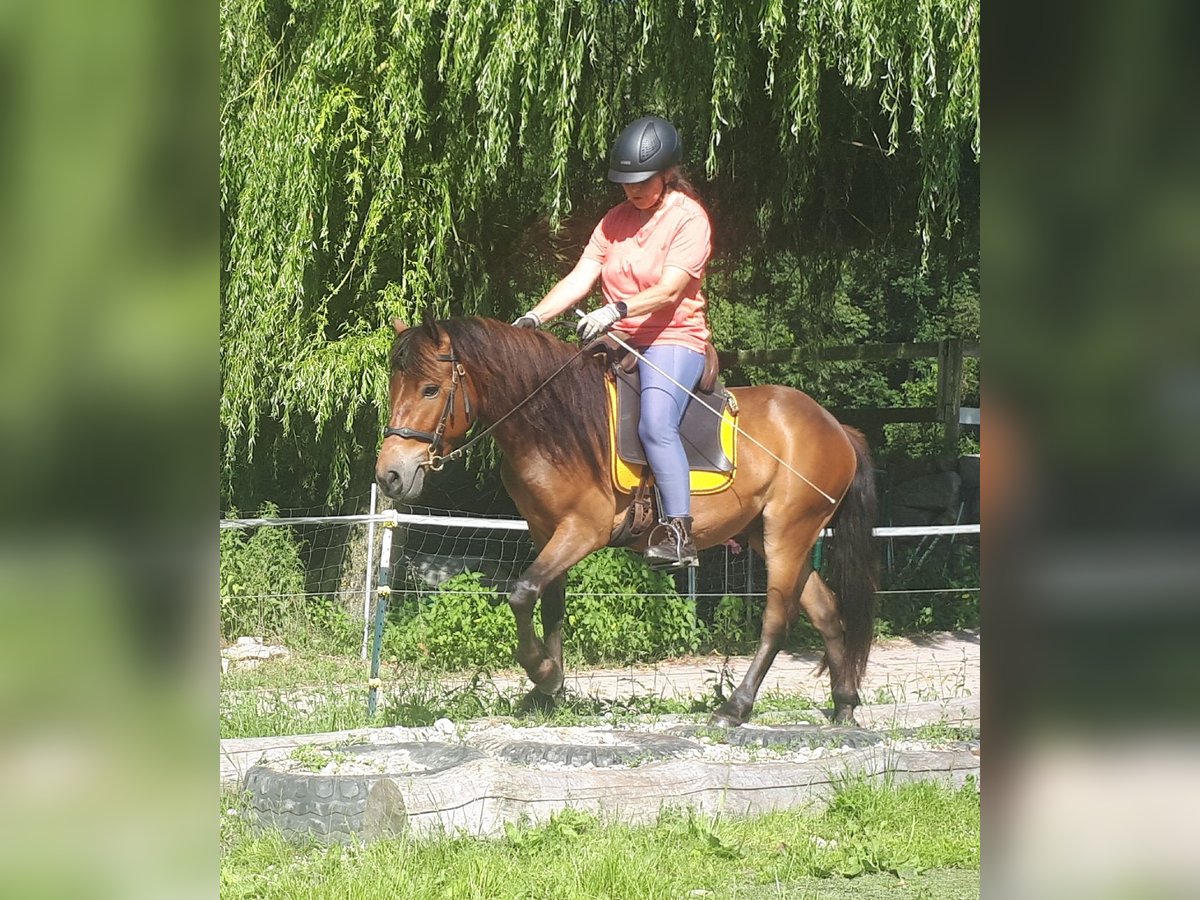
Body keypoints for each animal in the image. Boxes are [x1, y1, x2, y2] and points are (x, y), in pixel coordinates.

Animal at [376, 316, 883, 724]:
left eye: (430, 389)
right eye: (394, 387)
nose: (390, 475)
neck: (554, 424)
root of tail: (836, 427)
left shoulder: (583, 530)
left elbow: (521, 593)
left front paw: (542, 672)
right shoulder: (546, 530)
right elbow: (549, 603)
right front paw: (547, 690)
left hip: (786, 534)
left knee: (777, 619)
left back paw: (734, 707)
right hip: (770, 534)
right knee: (825, 610)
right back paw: (843, 704)